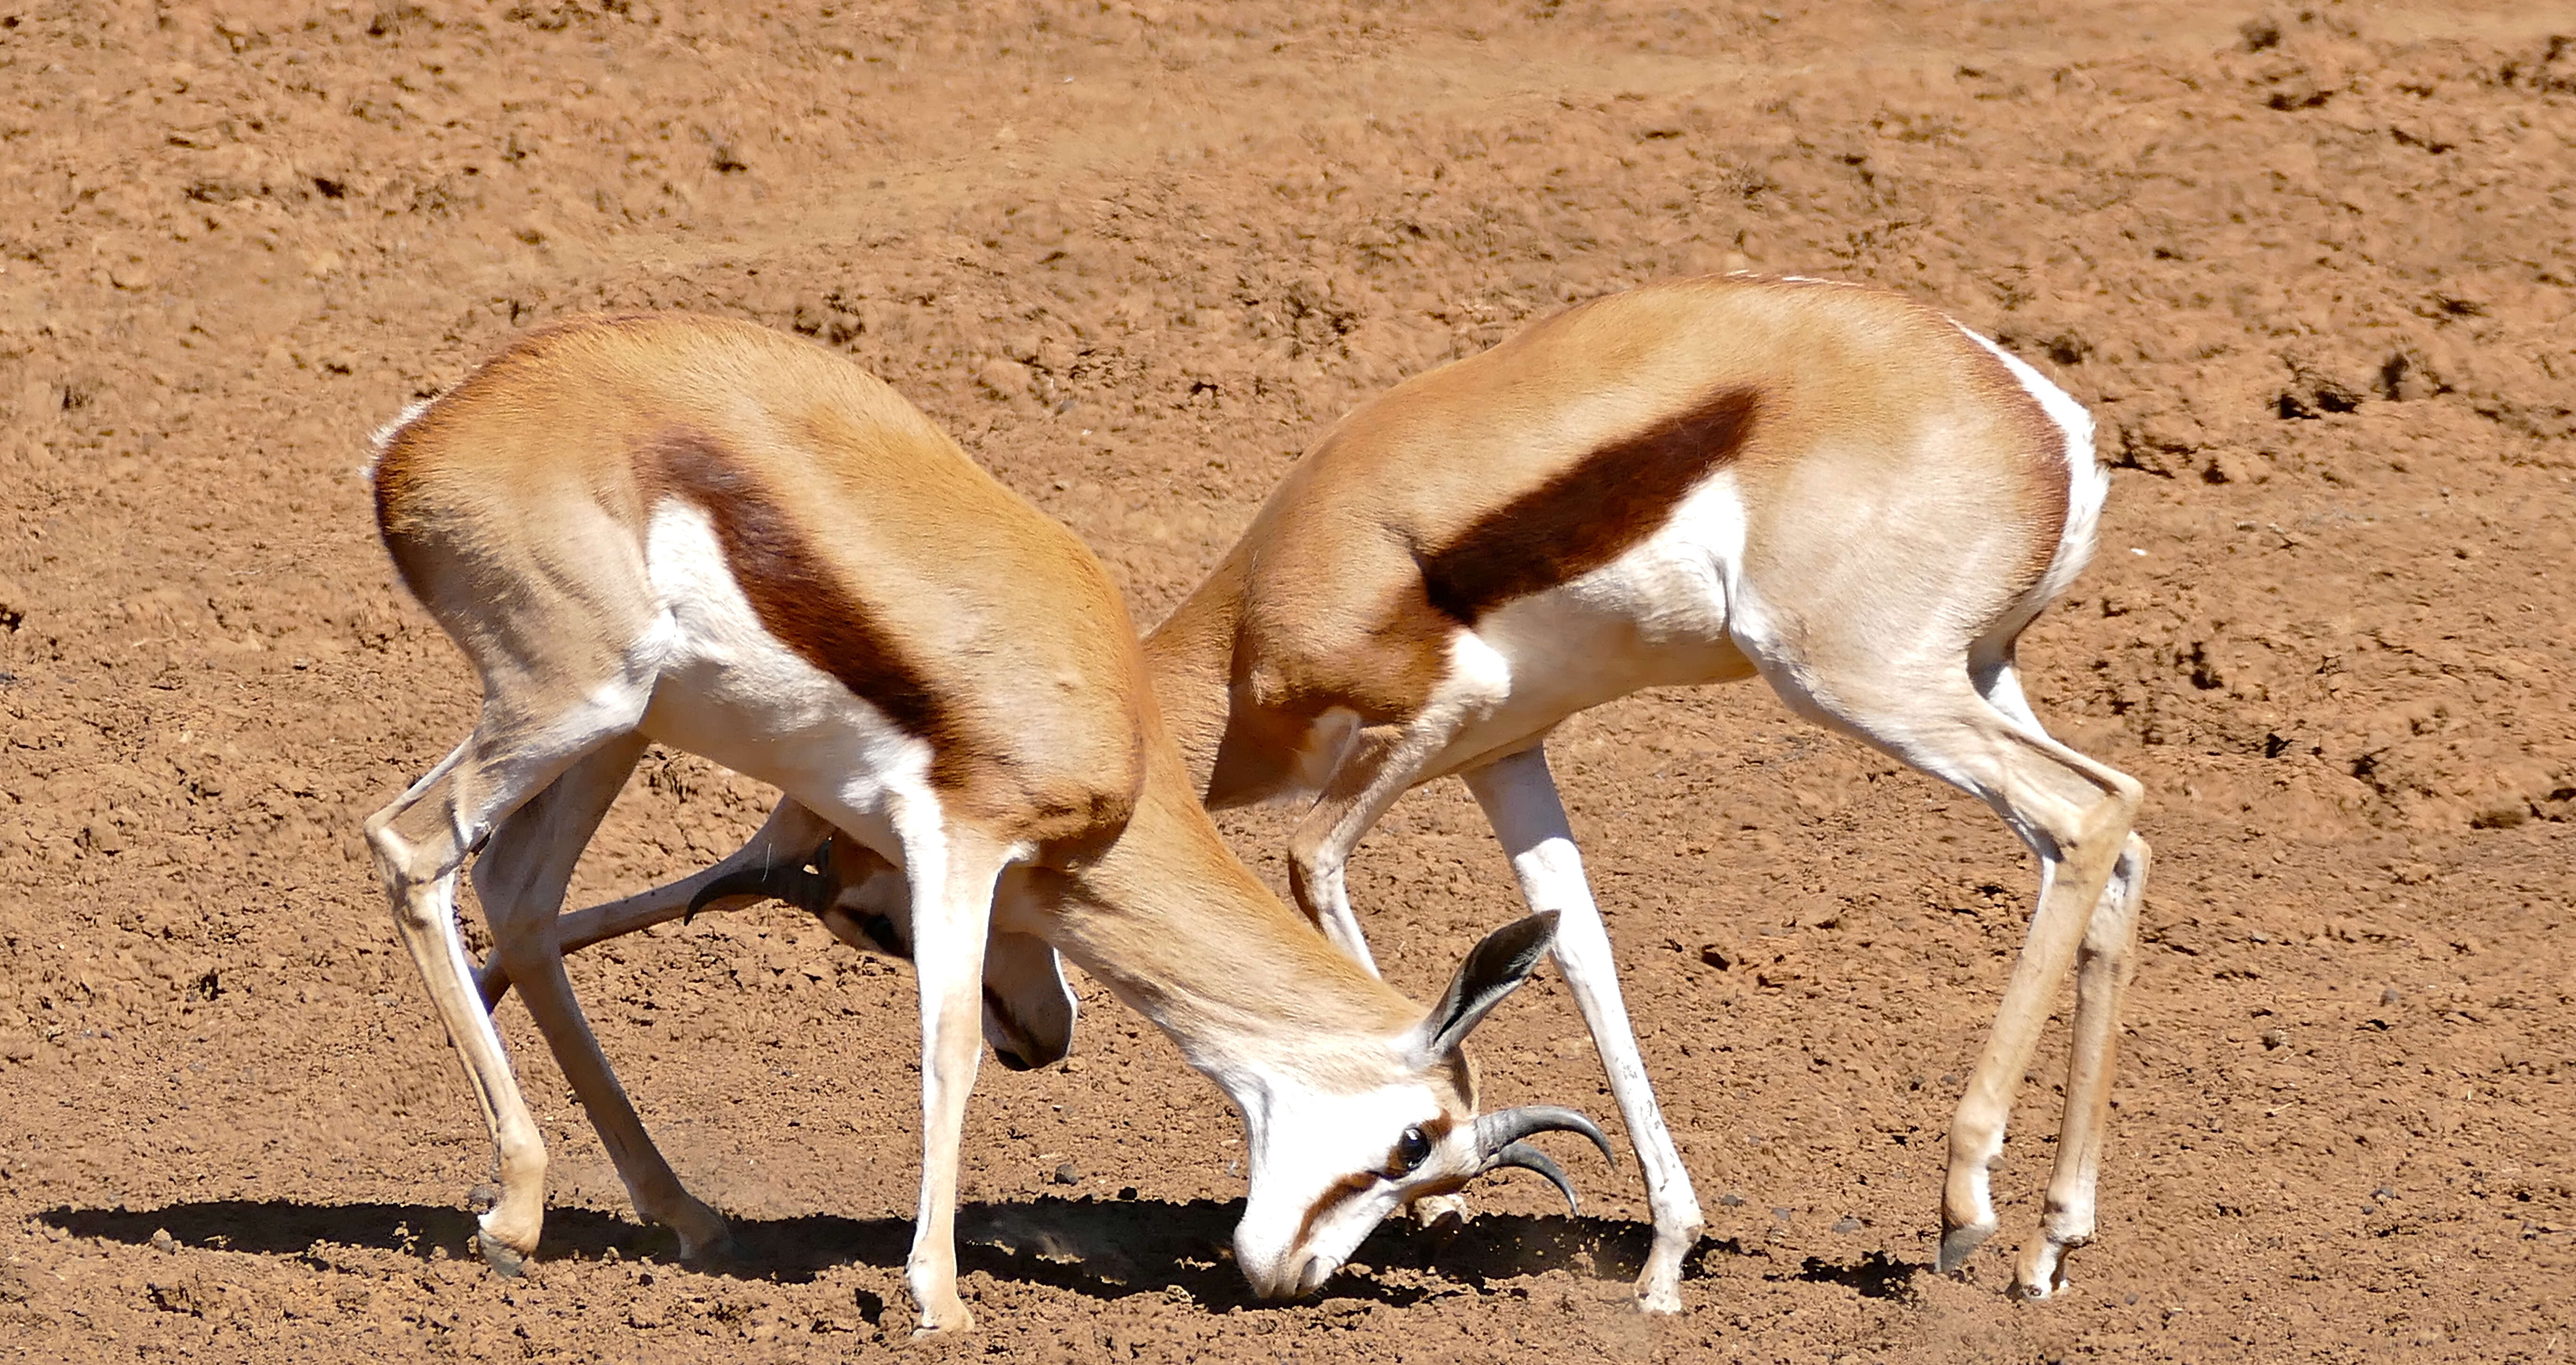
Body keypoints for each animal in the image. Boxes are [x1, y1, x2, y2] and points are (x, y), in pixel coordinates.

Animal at [363, 313, 1607, 1329]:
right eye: (1412, 1141)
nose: (1290, 1279)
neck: (1118, 741)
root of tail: (422, 436)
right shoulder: (957, 839)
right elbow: (951, 1043)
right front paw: (939, 1299)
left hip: (617, 730)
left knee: (521, 901)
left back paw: (681, 1214)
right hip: (573, 702)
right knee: (411, 846)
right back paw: (515, 1216)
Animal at [492, 270, 2143, 1303]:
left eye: (867, 912)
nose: (1035, 1041)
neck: (1244, 630)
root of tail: (2042, 416)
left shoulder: (1422, 733)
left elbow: (1317, 874)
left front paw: (1456, 1190)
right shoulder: (1505, 754)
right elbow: (1581, 945)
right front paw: (1667, 1258)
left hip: (1869, 685)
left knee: (2085, 817)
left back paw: (1965, 1211)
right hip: (1977, 676)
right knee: (2117, 831)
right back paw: (2053, 1241)